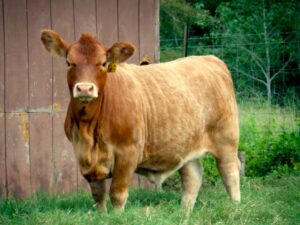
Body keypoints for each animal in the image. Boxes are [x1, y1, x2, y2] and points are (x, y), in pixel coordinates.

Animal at [41, 29, 240, 213]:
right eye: (69, 63)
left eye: (103, 63)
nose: (84, 88)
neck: (89, 129)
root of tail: (210, 59)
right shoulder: (84, 157)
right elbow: (98, 195)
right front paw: (103, 216)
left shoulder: (128, 152)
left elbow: (117, 194)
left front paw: (117, 218)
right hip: (187, 145)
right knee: (193, 177)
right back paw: (185, 213)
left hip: (226, 138)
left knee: (230, 172)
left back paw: (235, 207)